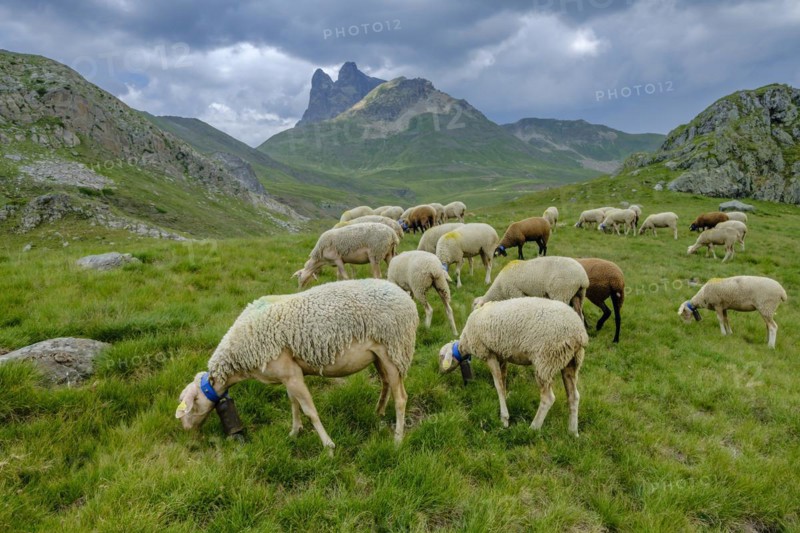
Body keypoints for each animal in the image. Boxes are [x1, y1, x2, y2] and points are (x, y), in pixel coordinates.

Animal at [176, 279, 418, 450]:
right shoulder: (288, 374)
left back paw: (398, 439)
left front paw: (328, 445)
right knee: (386, 382)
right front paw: (294, 432)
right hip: (379, 355)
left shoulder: (291, 373)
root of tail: (406, 297)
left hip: (394, 348)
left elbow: (310, 410)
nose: (186, 431)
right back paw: (378, 411)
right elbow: (293, 403)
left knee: (401, 398)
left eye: (192, 405)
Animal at [438, 297, 588, 435]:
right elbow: (503, 382)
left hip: (546, 360)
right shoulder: (502, 355)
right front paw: (505, 403)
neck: (466, 342)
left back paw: (533, 428)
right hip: (572, 361)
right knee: (574, 396)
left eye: (441, 356)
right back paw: (573, 432)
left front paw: (504, 419)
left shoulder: (489, 354)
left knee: (548, 398)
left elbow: (498, 385)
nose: (440, 373)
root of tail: (579, 333)